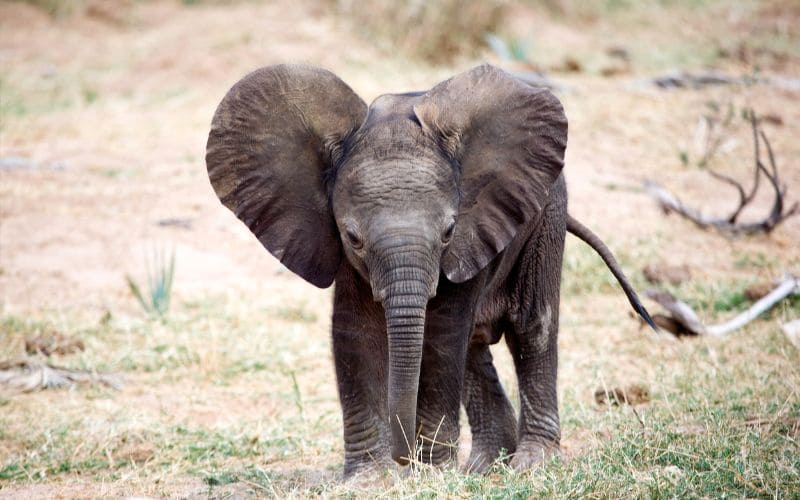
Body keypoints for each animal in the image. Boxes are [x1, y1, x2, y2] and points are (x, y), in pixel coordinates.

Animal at [206, 64, 655, 478]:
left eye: (448, 232)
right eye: (352, 238)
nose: (403, 459)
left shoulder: (472, 233)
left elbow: (440, 336)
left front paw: (432, 472)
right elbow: (355, 334)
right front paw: (369, 480)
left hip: (546, 215)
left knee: (531, 328)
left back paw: (530, 464)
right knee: (474, 345)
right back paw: (483, 467)